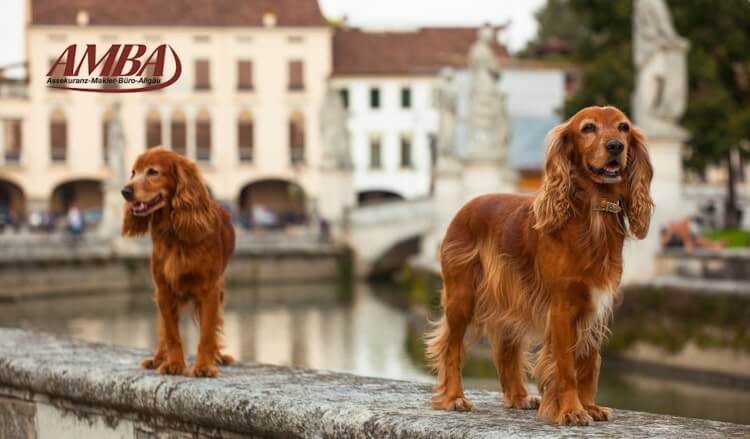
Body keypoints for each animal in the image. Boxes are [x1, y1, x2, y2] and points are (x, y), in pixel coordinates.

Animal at [122, 148, 236, 378]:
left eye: (153, 172)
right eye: (133, 172)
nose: (125, 191)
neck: (173, 235)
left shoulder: (209, 290)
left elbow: (207, 333)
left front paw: (204, 366)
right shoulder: (163, 291)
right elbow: (171, 334)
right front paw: (173, 364)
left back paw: (218, 356)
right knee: (162, 331)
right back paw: (157, 358)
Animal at [428, 106, 652, 426]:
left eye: (623, 127)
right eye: (588, 128)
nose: (615, 146)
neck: (593, 212)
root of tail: (467, 206)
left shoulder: (596, 306)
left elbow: (588, 362)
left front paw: (589, 406)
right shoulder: (561, 308)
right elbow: (566, 367)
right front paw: (571, 410)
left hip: (510, 298)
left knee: (507, 349)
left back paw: (519, 396)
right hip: (462, 296)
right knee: (452, 347)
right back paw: (453, 398)